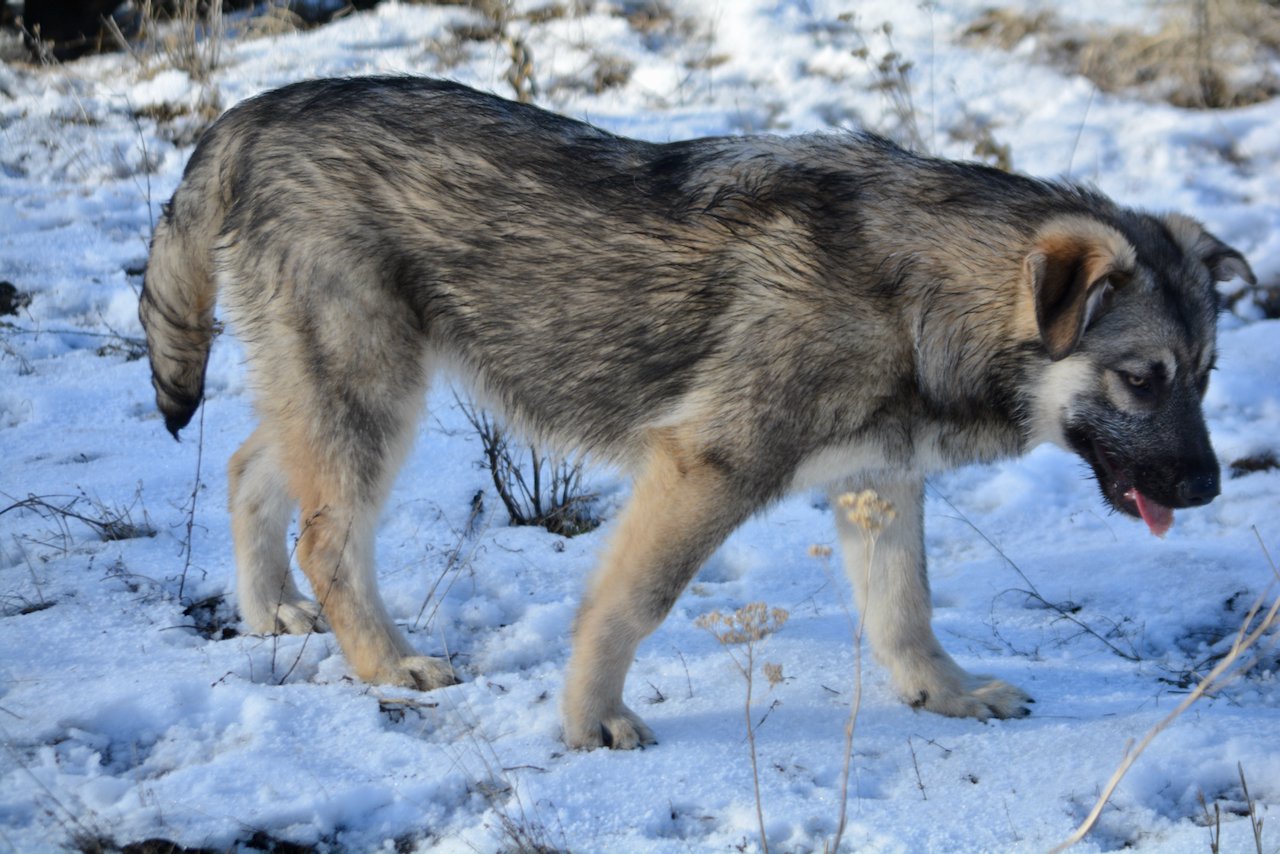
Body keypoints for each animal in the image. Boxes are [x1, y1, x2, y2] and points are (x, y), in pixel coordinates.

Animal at [137, 78, 1249, 747]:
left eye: (1203, 374)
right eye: (1141, 377)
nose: (1205, 489)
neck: (918, 296)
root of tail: (254, 110)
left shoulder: (878, 481)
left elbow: (905, 610)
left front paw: (946, 693)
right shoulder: (705, 469)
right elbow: (628, 603)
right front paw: (589, 720)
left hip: (333, 392)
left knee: (247, 470)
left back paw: (270, 611)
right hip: (371, 395)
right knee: (329, 534)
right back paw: (384, 662)